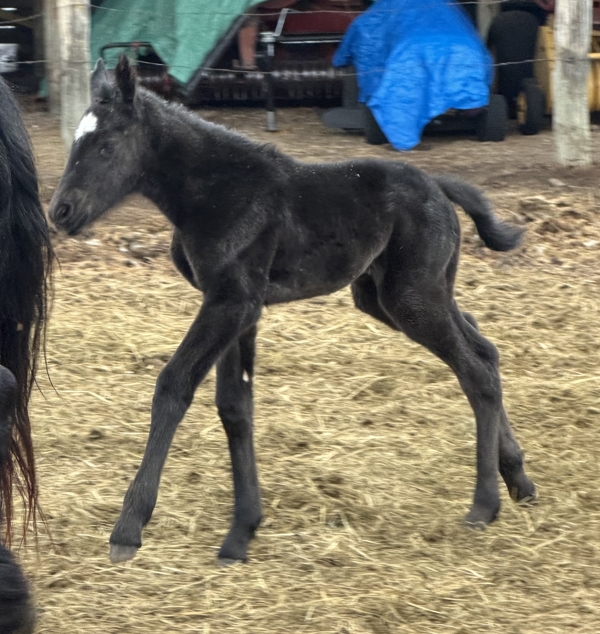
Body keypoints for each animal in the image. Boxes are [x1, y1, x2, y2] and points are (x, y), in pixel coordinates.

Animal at [48, 56, 536, 566]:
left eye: (106, 146)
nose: (61, 211)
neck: (216, 191)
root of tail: (438, 185)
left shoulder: (231, 302)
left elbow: (174, 386)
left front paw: (129, 527)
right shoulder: (238, 308)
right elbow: (235, 406)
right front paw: (241, 532)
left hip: (412, 297)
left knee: (475, 371)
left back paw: (485, 503)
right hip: (389, 295)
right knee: (482, 348)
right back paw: (519, 479)